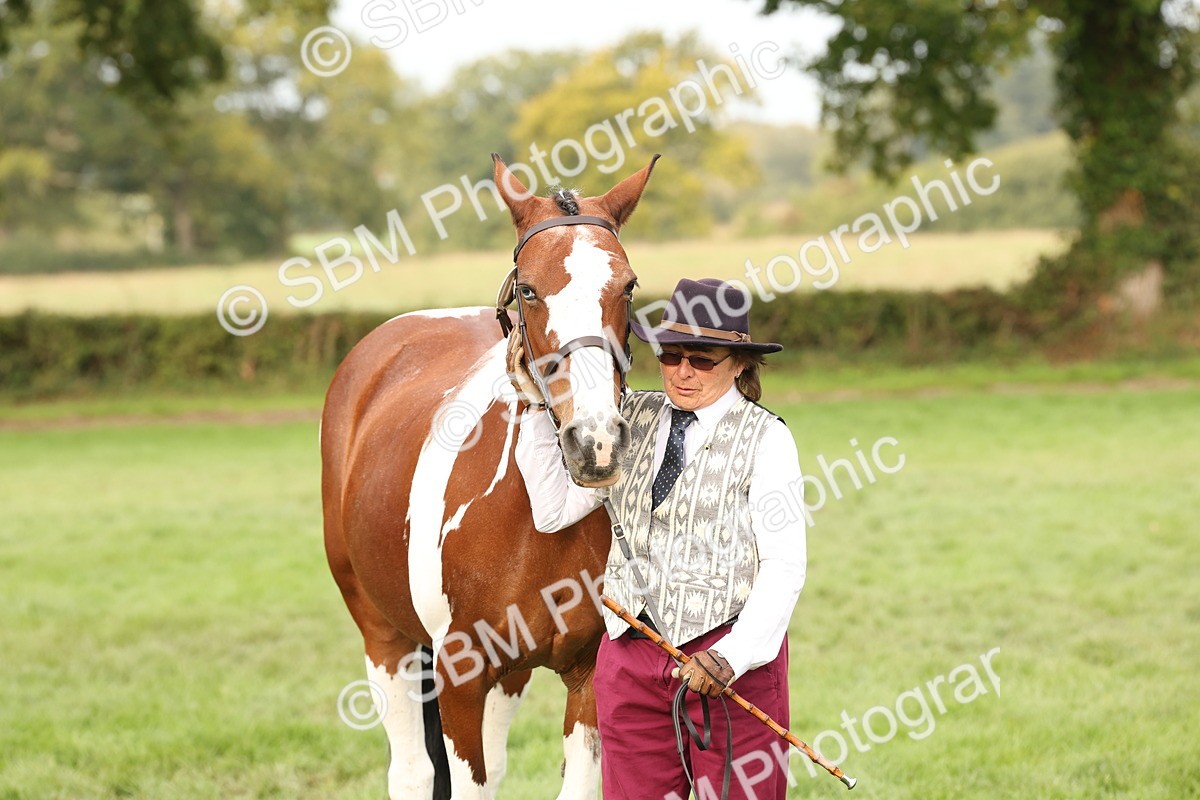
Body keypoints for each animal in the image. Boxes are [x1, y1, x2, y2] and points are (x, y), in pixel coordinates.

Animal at [321, 153, 658, 799]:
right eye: (528, 288)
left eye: (628, 286)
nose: (595, 443)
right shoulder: (460, 673)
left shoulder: (586, 675)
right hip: (381, 634)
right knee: (411, 770)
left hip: (510, 673)